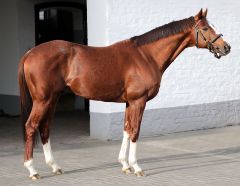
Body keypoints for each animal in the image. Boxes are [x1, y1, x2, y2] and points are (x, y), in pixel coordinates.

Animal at [18, 8, 231, 179]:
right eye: (206, 28)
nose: (226, 47)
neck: (146, 56)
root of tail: (30, 53)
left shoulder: (129, 102)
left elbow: (126, 129)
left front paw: (125, 165)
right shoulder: (139, 101)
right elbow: (135, 131)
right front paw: (136, 167)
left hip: (52, 99)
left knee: (45, 128)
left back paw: (54, 167)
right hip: (43, 100)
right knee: (31, 127)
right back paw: (32, 170)